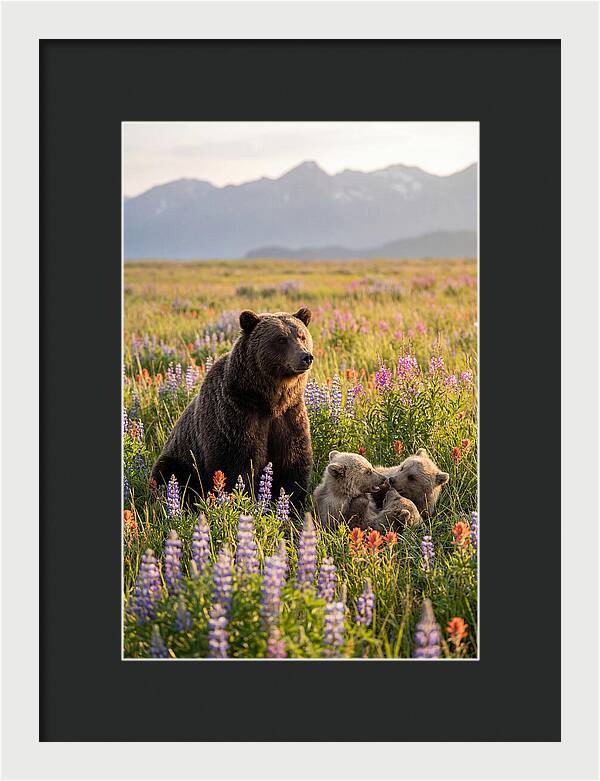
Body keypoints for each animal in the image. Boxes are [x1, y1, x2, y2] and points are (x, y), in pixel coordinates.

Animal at [151, 307, 314, 505]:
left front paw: (292, 503)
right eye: (281, 339)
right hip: (180, 458)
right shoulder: (235, 414)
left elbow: (292, 462)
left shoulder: (289, 415)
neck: (268, 400)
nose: (306, 357)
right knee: (169, 474)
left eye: (302, 336)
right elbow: (236, 464)